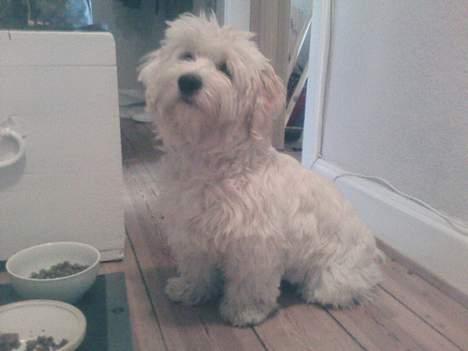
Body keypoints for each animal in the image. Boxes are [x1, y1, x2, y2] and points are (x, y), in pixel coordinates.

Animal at [139, 13, 384, 328]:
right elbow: (197, 267)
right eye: (187, 56)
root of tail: (372, 255)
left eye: (225, 69)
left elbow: (249, 282)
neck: (211, 163)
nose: (188, 81)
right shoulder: (191, 230)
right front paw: (189, 289)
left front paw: (245, 311)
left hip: (332, 280)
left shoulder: (254, 243)